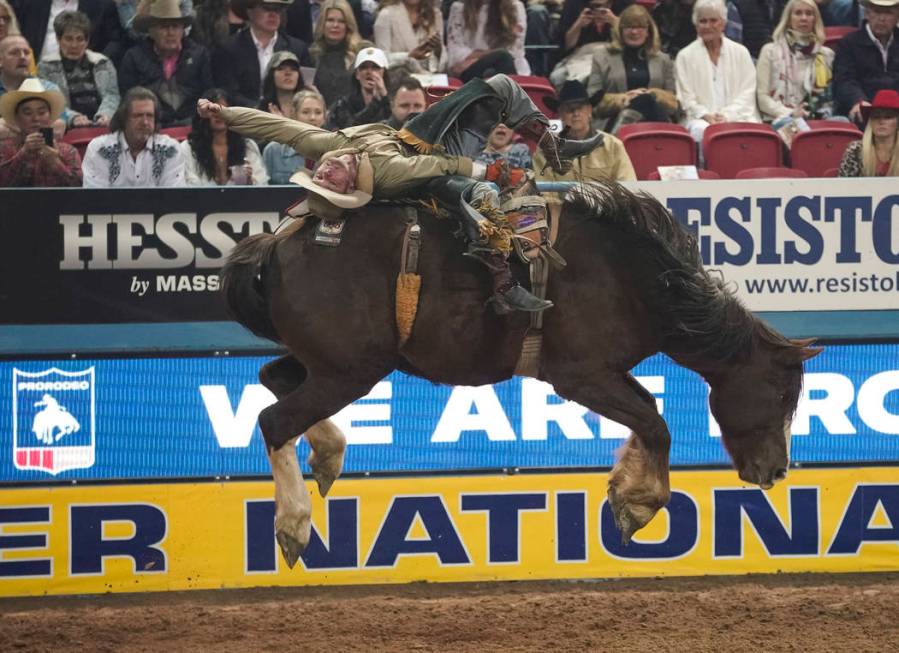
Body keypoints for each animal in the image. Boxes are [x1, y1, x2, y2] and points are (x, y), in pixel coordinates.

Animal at [220, 182, 824, 564]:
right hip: (350, 370)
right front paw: (638, 504)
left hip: (334, 363)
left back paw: (326, 456)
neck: (631, 279)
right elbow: (654, 421)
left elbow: (647, 416)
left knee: (274, 379)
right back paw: (293, 525)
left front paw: (625, 488)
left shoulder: (605, 375)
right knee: (275, 420)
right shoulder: (581, 376)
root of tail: (277, 241)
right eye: (780, 393)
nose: (776, 470)